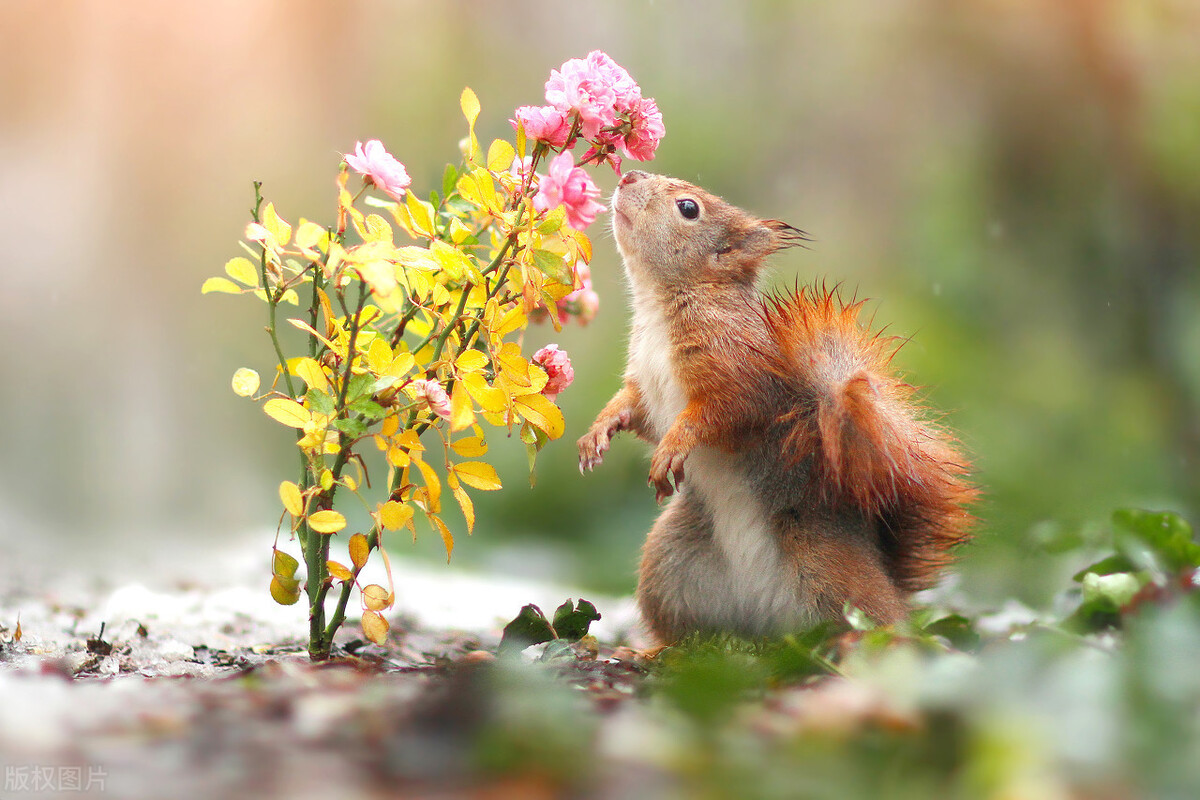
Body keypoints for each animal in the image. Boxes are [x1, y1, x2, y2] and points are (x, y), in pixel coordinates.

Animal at [576, 169, 979, 642]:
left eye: (689, 208)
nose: (629, 175)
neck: (659, 307)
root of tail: (766, 623)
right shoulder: (644, 382)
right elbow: (631, 409)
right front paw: (598, 432)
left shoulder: (742, 371)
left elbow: (718, 413)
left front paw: (675, 445)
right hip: (669, 567)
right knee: (690, 637)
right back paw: (655, 649)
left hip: (831, 572)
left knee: (874, 624)